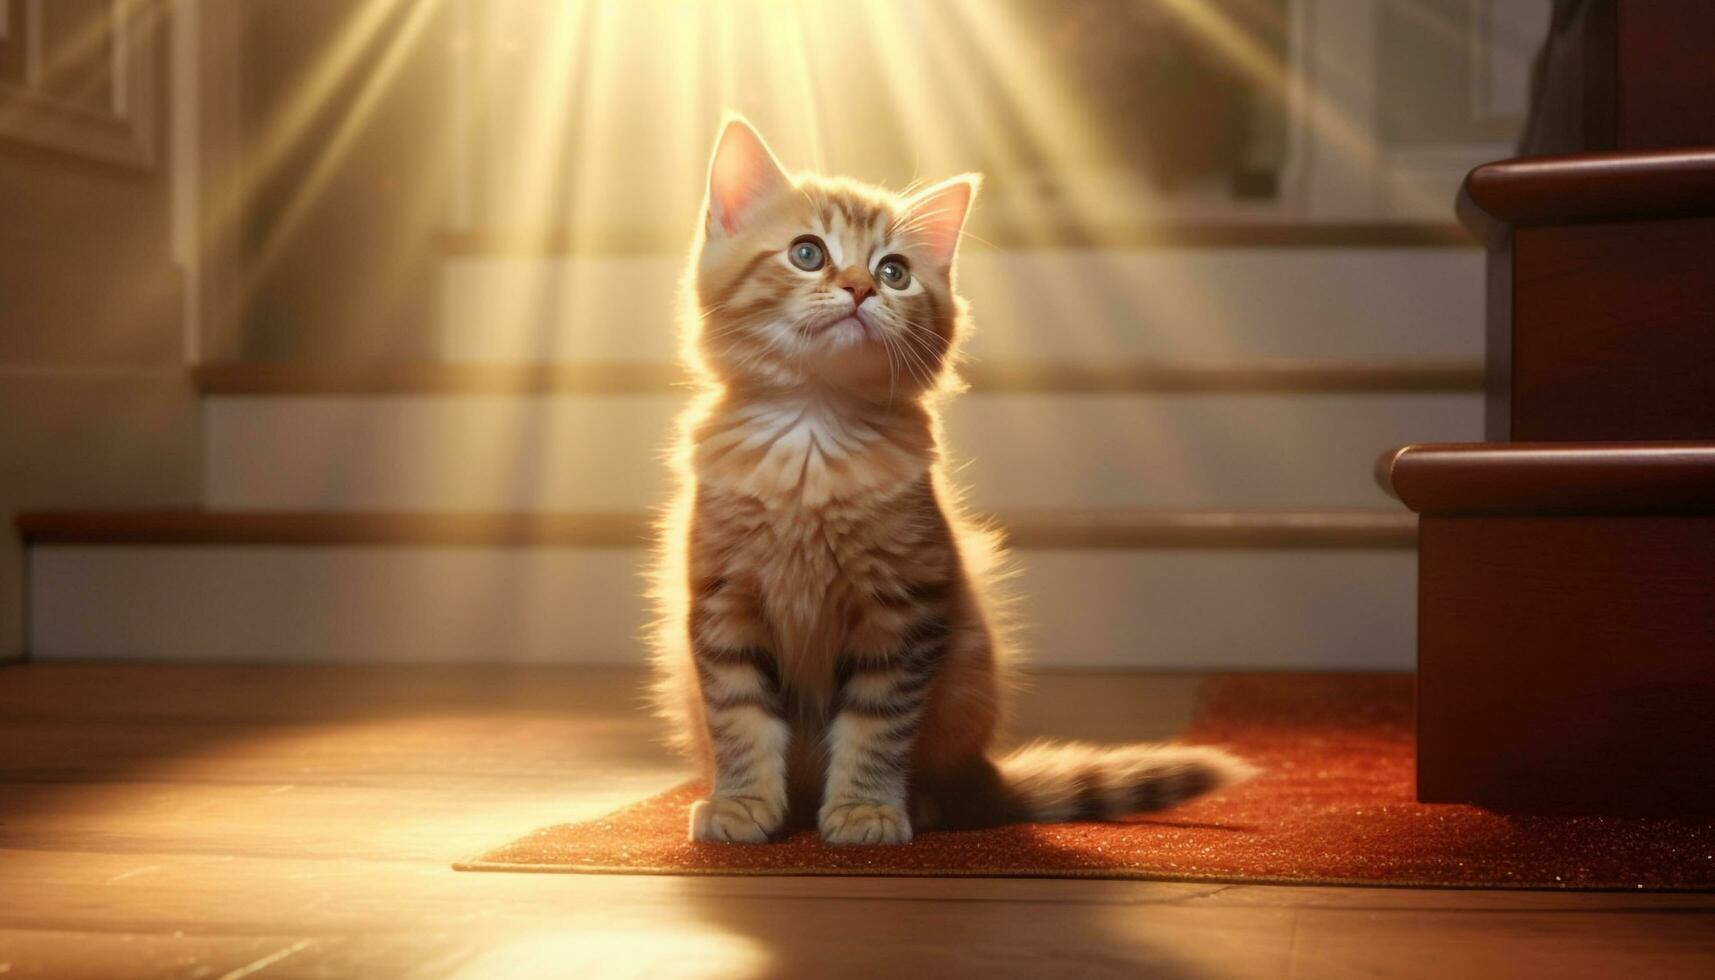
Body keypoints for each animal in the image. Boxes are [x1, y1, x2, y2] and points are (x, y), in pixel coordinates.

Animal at [648, 120, 1255, 844]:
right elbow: (739, 720)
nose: (860, 288)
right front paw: (741, 803)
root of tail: (984, 772)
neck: (813, 436)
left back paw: (924, 804)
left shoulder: (905, 611)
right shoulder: (722, 604)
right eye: (806, 253)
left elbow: (876, 728)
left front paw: (866, 809)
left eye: (894, 272)